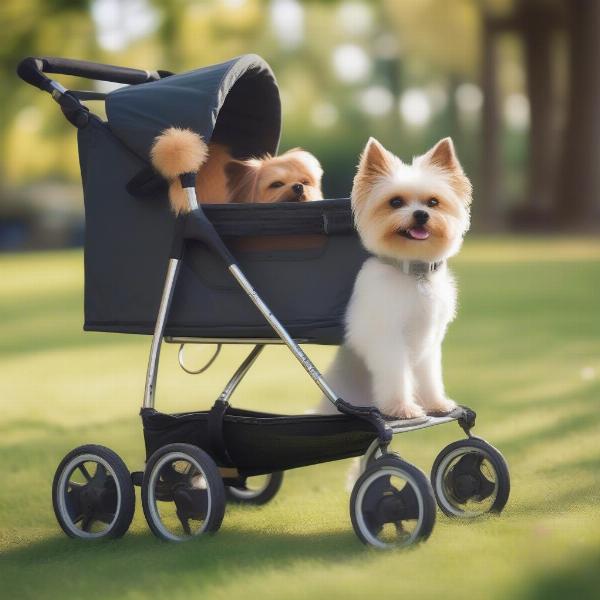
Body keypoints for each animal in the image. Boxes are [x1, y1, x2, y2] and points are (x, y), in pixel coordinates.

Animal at [322, 137, 472, 420]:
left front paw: (436, 403)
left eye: (433, 202)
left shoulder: (430, 341)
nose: (421, 214)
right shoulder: (389, 338)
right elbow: (396, 375)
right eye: (395, 202)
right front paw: (402, 408)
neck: (413, 273)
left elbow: (430, 377)